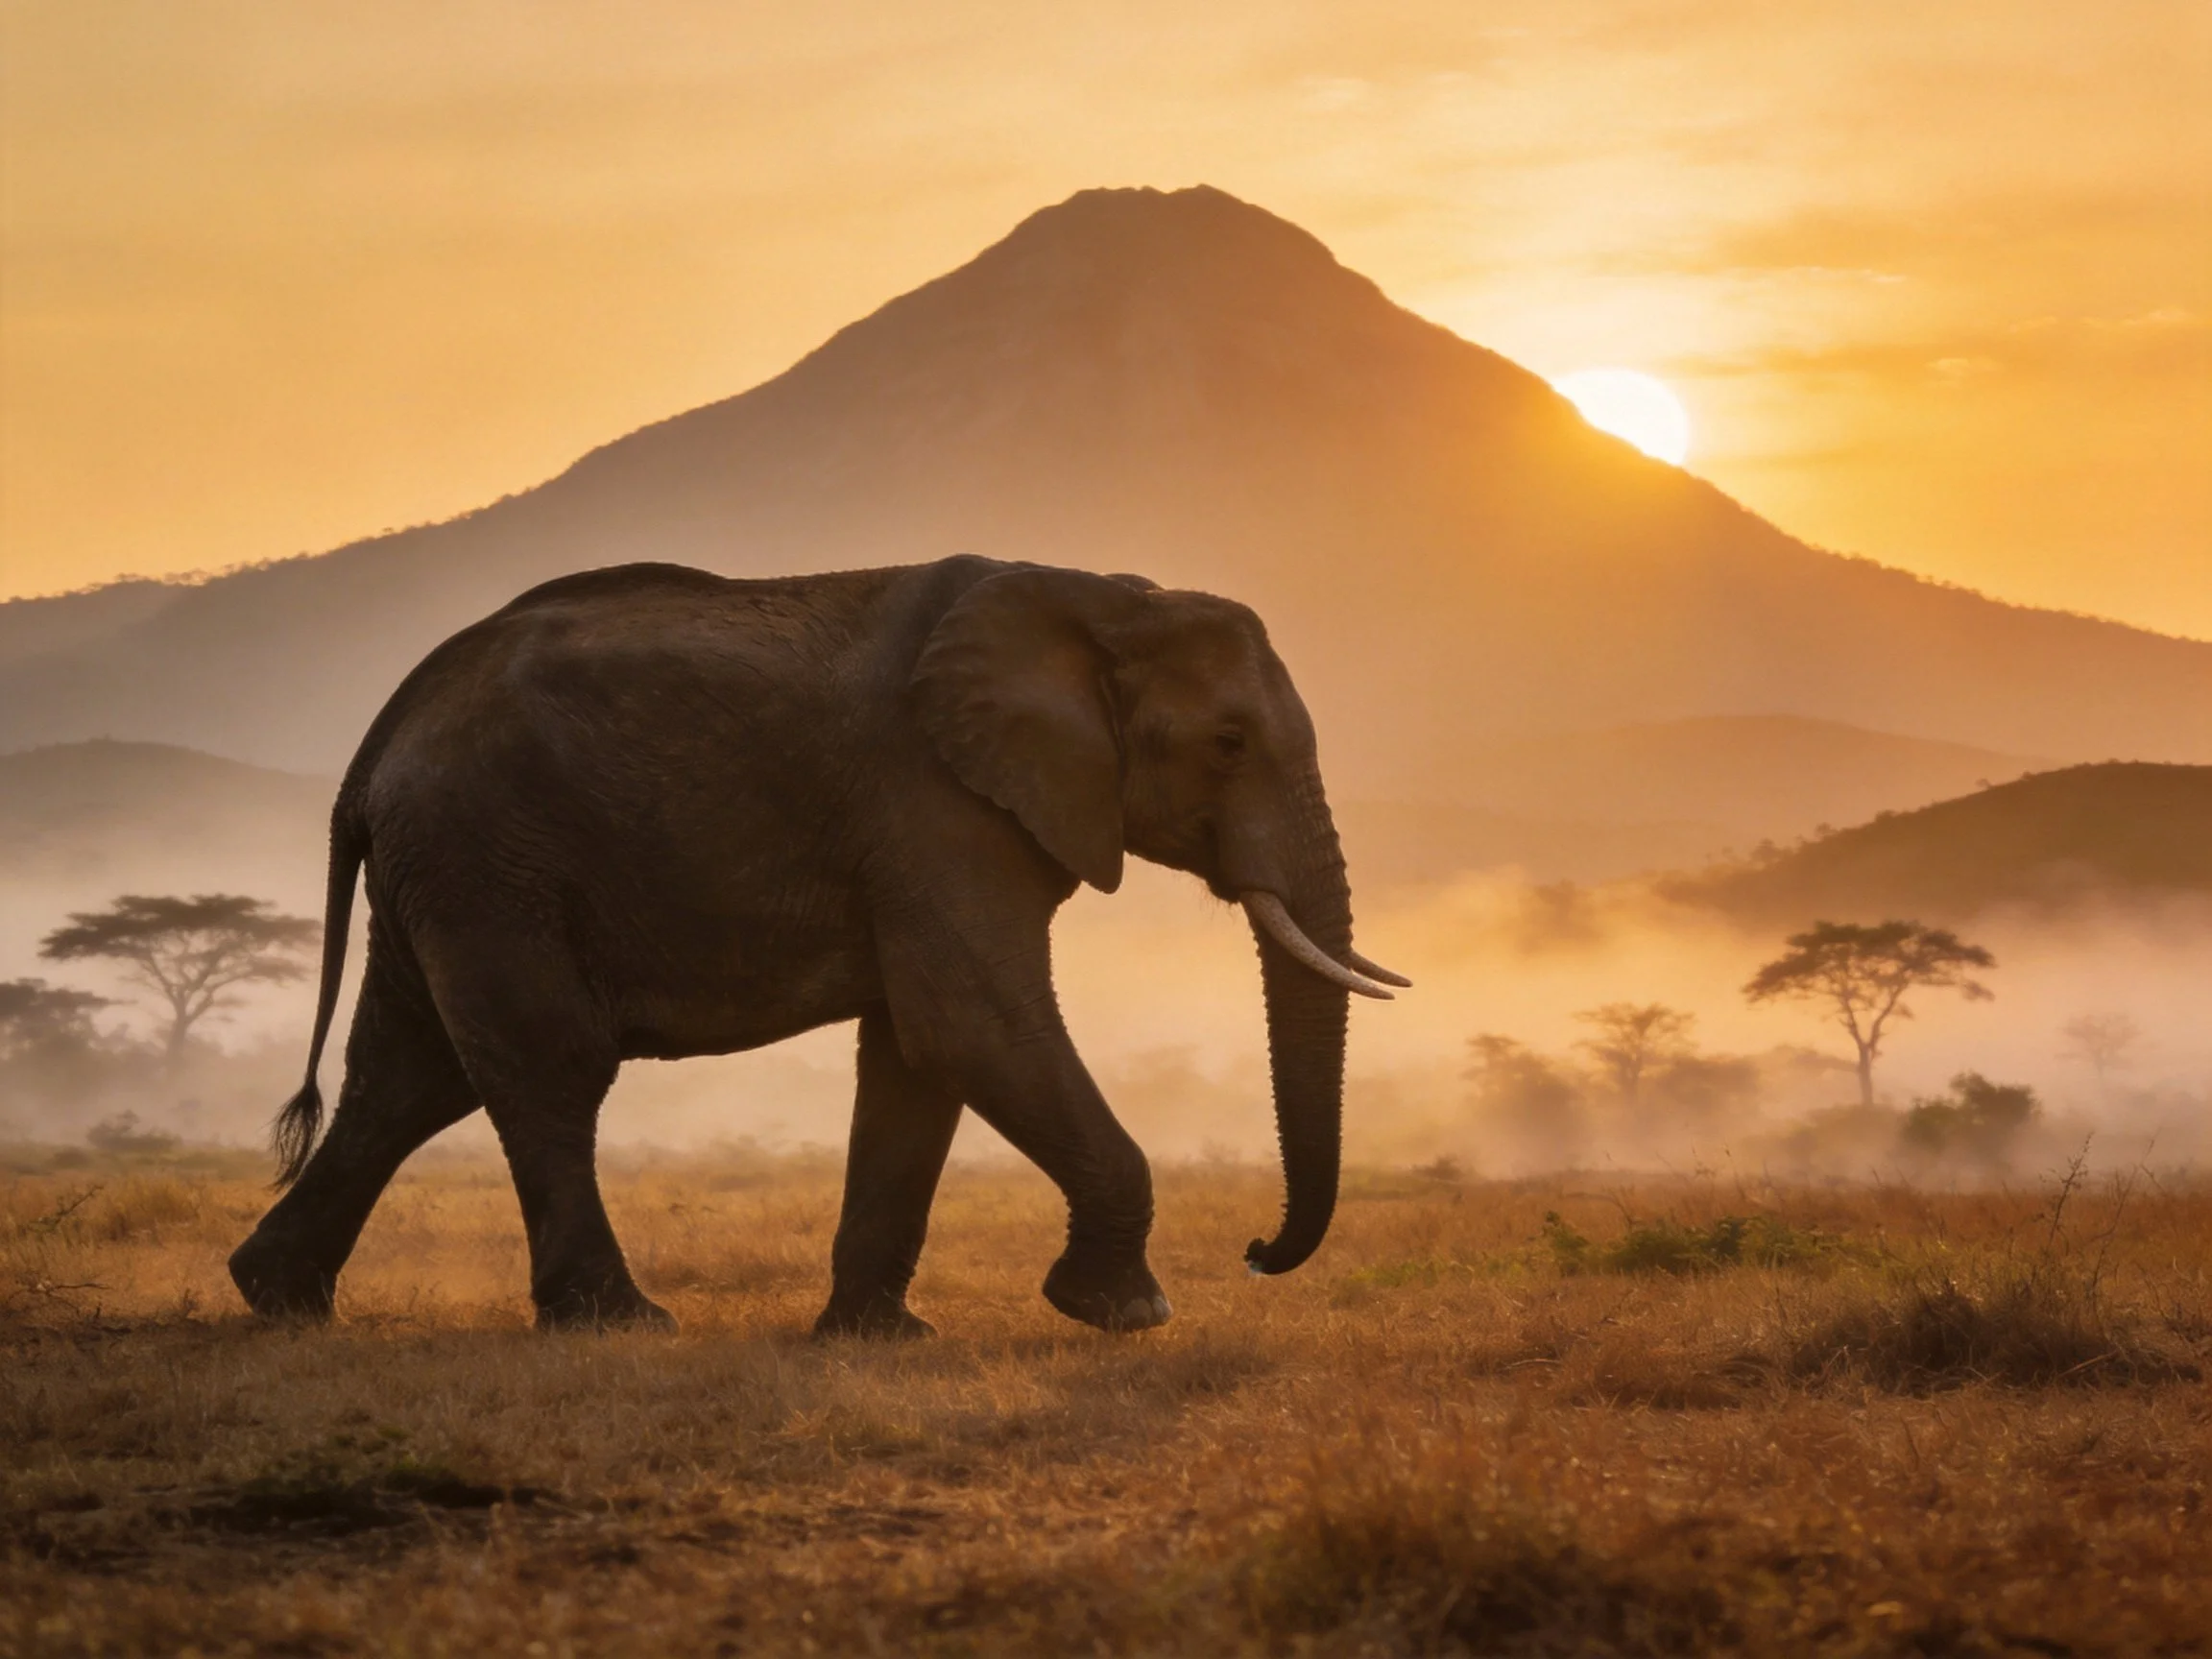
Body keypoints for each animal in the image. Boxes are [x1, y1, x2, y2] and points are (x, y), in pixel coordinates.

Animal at [227, 556, 1406, 1335]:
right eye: (1228, 743)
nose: (1254, 1251)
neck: (1104, 599)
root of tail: (382, 734)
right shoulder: (934, 800)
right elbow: (970, 1025)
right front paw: (1125, 1313)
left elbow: (916, 1059)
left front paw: (879, 1340)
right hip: (488, 855)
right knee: (545, 1065)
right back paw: (619, 1322)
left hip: (445, 867)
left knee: (407, 1078)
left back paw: (278, 1301)